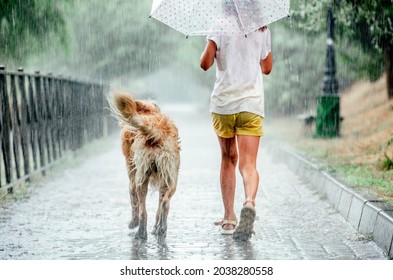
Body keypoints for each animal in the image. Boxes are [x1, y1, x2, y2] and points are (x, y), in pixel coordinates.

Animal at [108, 92, 179, 241]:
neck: (147, 111)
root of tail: (157, 132)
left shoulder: (131, 175)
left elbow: (133, 200)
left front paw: (133, 223)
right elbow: (158, 208)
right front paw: (156, 228)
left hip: (141, 178)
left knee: (143, 211)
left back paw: (140, 233)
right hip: (170, 178)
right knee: (164, 204)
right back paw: (161, 230)